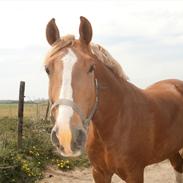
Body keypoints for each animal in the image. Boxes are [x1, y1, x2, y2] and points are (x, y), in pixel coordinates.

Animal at [43, 16, 183, 182]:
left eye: (91, 67)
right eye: (47, 69)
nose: (66, 135)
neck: (115, 121)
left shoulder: (134, 173)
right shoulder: (99, 172)